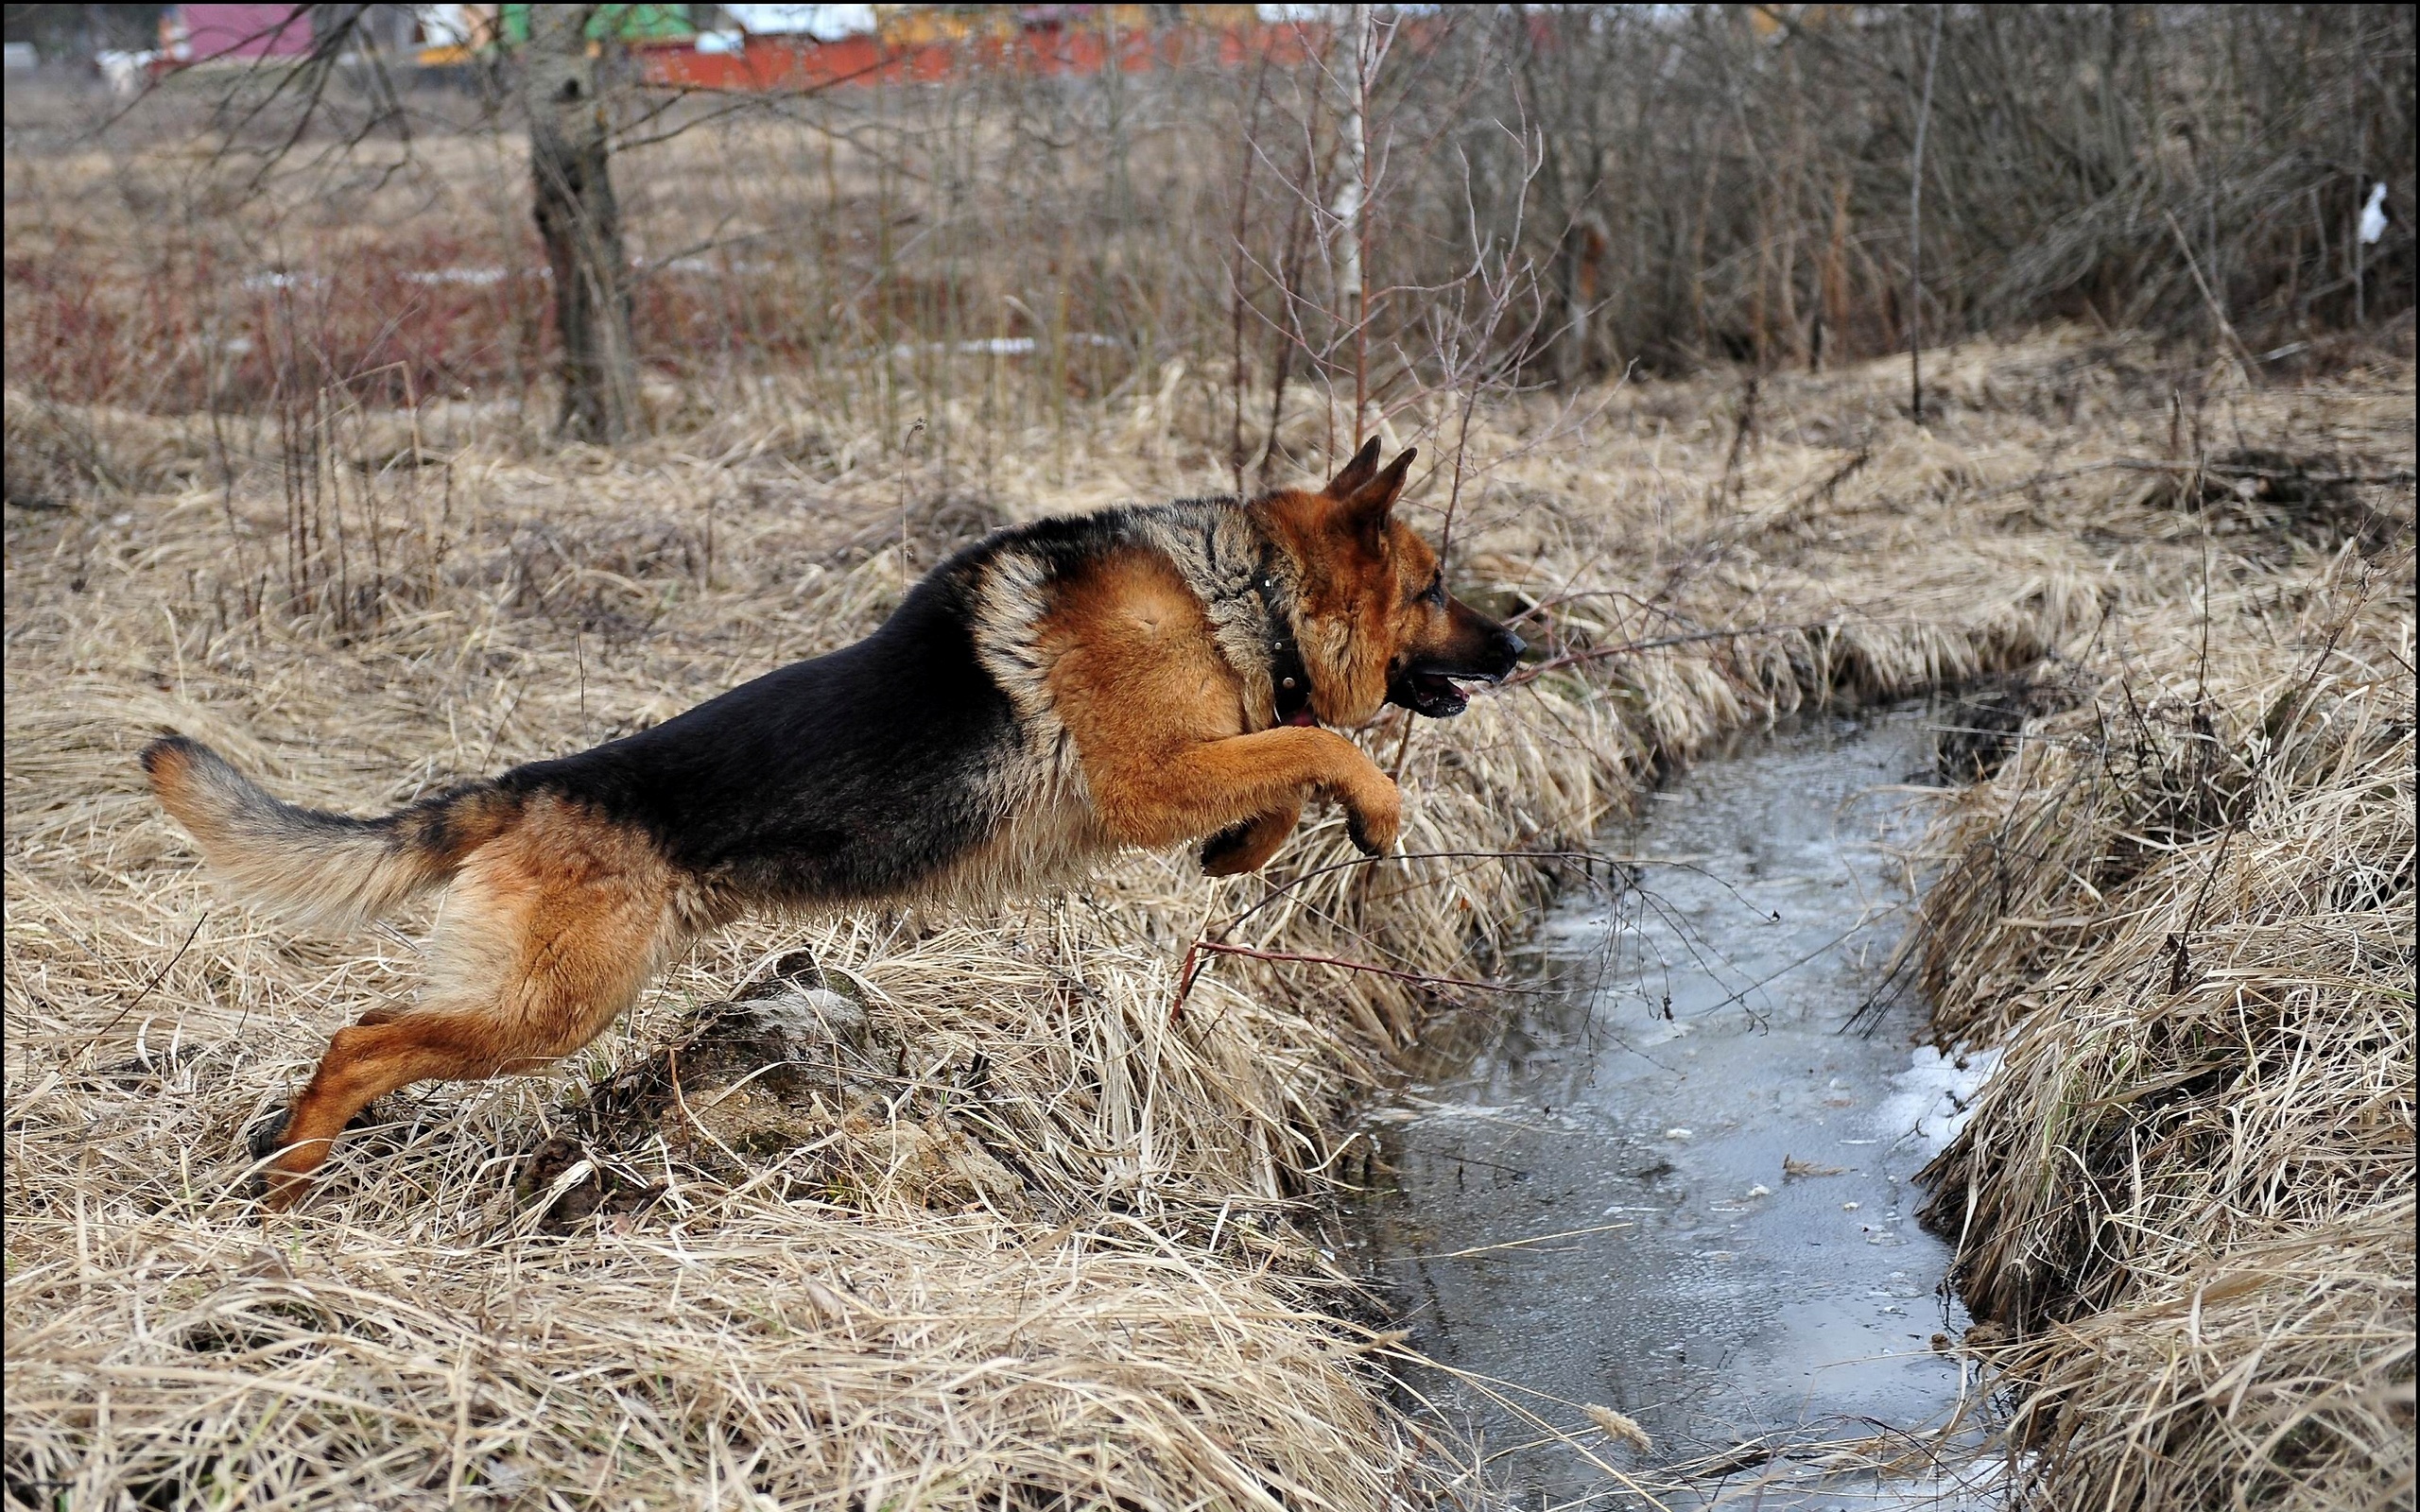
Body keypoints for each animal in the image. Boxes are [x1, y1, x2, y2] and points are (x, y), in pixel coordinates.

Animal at [137, 439, 1510, 1204]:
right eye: (1435, 585)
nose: (1526, 642)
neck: (1245, 593)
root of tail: (537, 782)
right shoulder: (1148, 779)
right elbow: (1323, 742)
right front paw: (1375, 812)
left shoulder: (1180, 771)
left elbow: (1282, 770)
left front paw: (1245, 847)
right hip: (549, 1007)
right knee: (360, 1040)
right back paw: (289, 1185)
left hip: (539, 999)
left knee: (369, 1031)